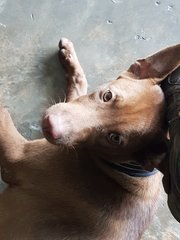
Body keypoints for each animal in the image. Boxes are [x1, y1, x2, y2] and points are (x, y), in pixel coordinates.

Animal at [0, 38, 179, 239]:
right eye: (107, 95)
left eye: (114, 138)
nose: (50, 126)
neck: (126, 169)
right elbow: (79, 85)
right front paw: (69, 56)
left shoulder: (16, 153)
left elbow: (2, 111)